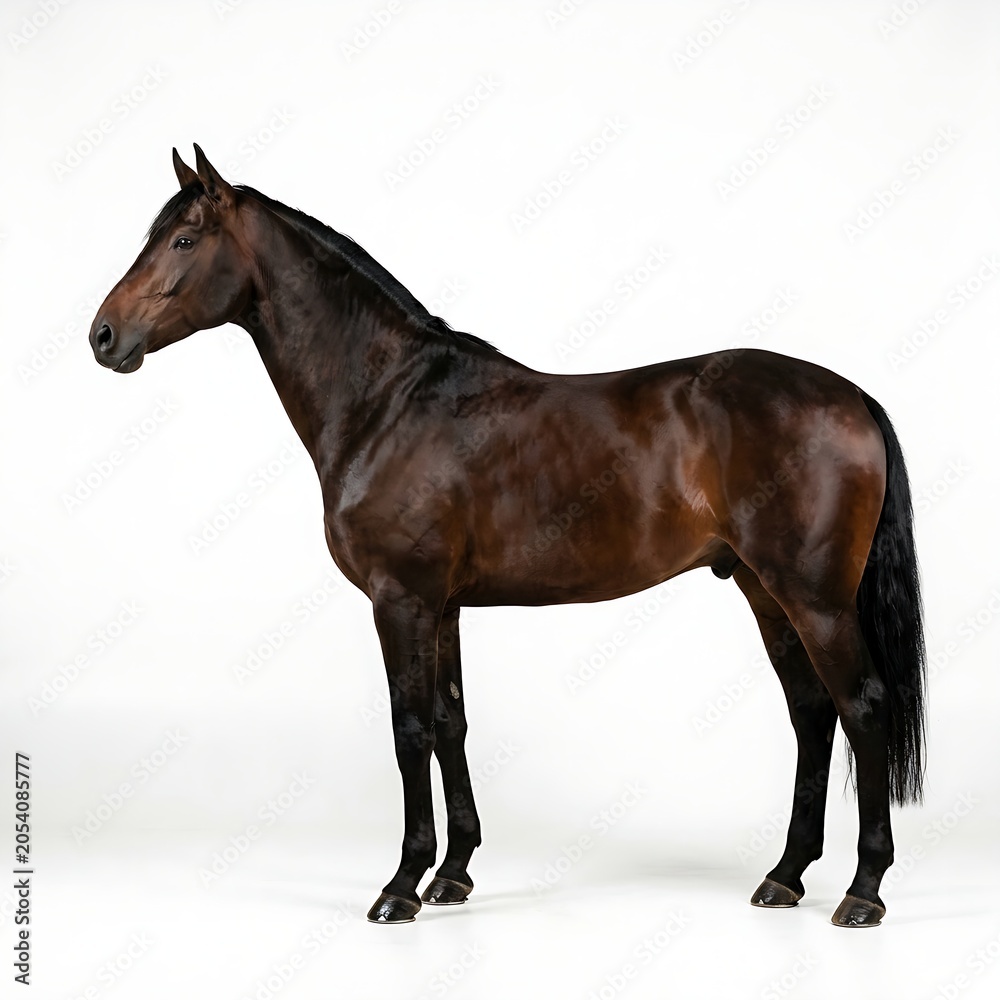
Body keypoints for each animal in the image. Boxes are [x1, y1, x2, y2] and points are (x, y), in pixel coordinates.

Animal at [89, 145, 926, 927]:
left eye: (185, 239)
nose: (103, 335)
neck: (389, 401)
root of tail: (852, 396)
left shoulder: (401, 600)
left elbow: (409, 731)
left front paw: (401, 885)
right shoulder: (443, 606)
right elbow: (451, 724)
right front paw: (453, 874)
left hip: (814, 598)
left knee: (862, 707)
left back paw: (863, 891)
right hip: (764, 591)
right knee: (812, 713)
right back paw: (785, 877)